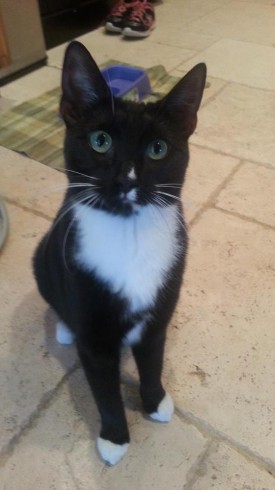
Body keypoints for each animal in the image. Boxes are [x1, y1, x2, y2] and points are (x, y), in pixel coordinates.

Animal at [33, 41, 207, 464]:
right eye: (100, 141)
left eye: (158, 149)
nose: (127, 179)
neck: (129, 234)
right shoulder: (95, 338)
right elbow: (104, 390)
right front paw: (114, 438)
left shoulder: (159, 311)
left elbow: (153, 360)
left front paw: (155, 401)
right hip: (42, 257)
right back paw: (64, 328)